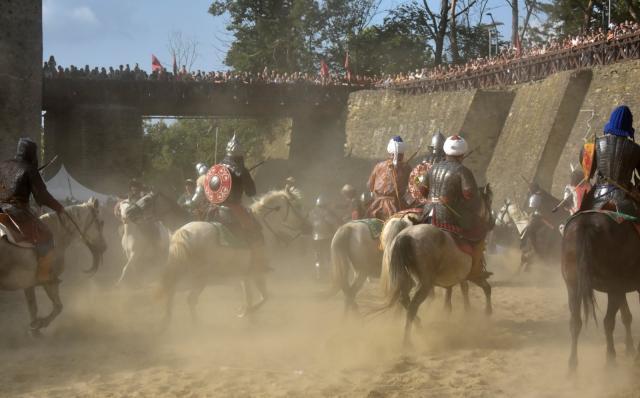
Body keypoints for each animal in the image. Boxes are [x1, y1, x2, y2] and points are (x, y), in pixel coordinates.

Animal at [156, 188, 308, 324]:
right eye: (298, 206)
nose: (308, 227)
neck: (262, 226)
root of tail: (182, 233)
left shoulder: (245, 276)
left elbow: (250, 297)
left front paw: (249, 316)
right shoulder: (256, 273)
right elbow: (264, 297)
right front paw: (245, 312)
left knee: (171, 293)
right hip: (198, 279)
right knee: (187, 298)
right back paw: (195, 326)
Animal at [380, 187, 496, 346]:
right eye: (489, 201)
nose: (492, 222)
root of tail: (405, 235)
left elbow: (453, 290)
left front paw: (450, 311)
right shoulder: (471, 274)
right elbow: (481, 288)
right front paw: (481, 312)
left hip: (406, 277)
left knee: (403, 299)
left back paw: (413, 324)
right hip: (424, 283)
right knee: (412, 305)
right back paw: (408, 340)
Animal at [560, 213, 640, 372]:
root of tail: (585, 224)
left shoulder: (622, 288)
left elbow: (626, 316)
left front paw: (630, 349)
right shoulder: (622, 287)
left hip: (573, 286)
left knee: (575, 323)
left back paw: (572, 367)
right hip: (614, 288)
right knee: (608, 321)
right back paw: (610, 362)